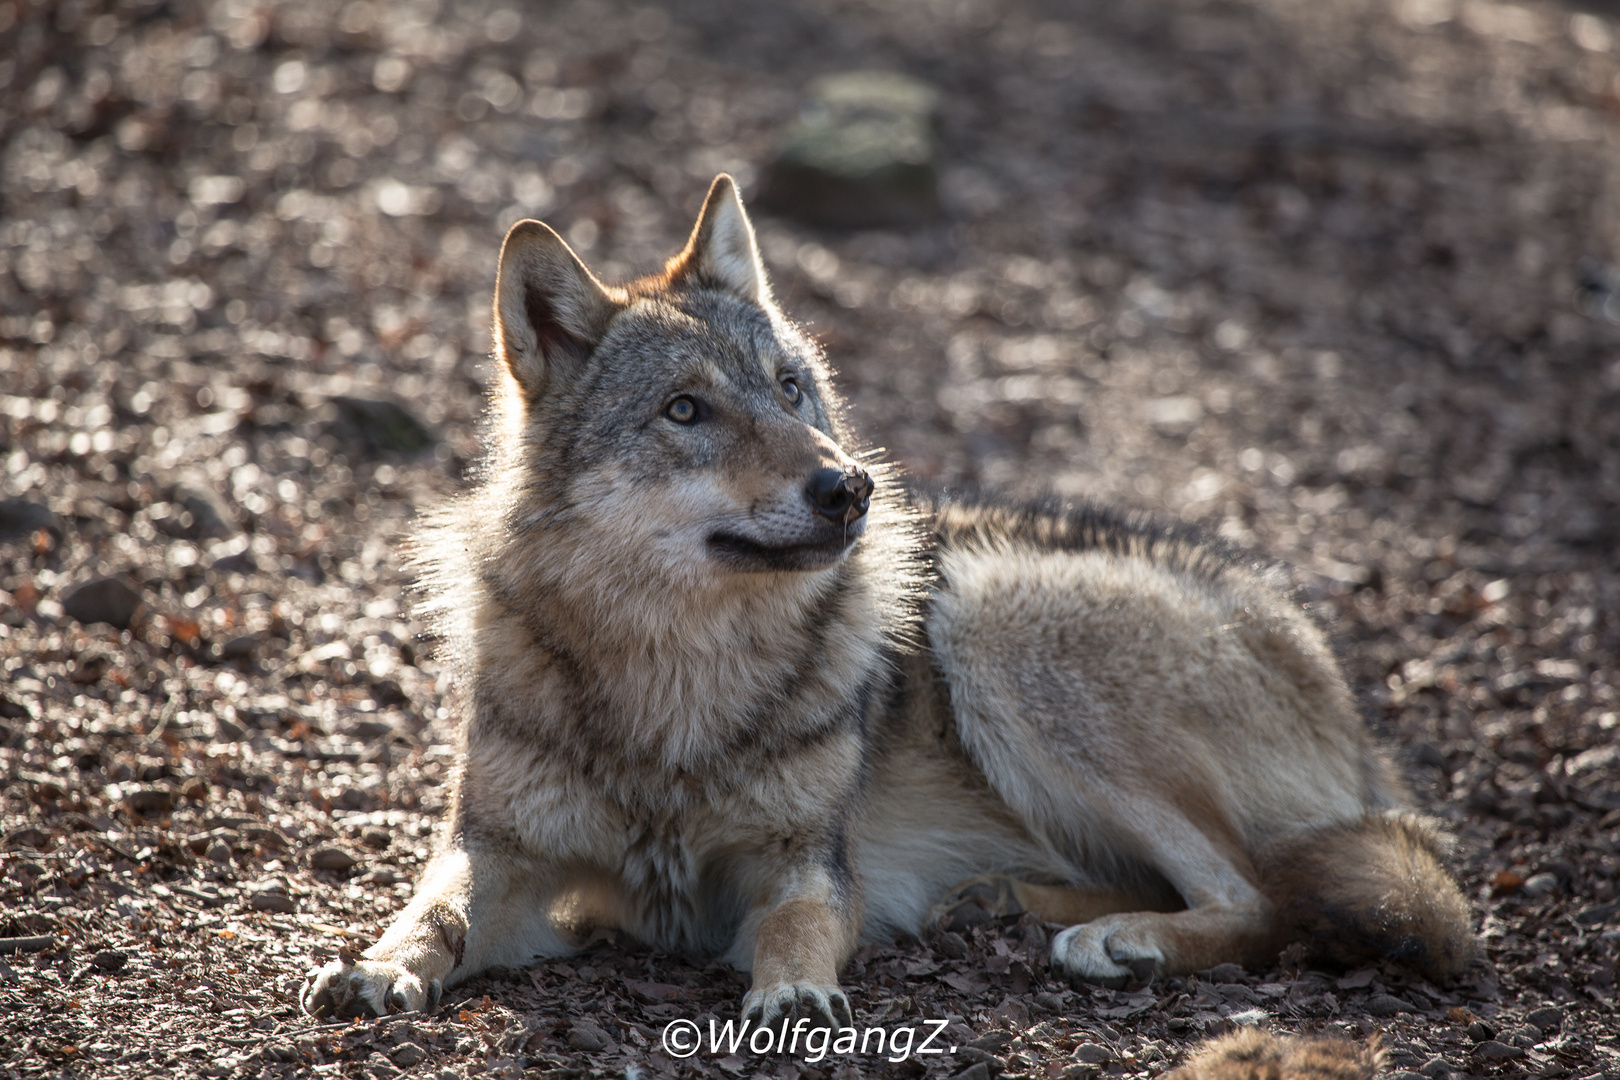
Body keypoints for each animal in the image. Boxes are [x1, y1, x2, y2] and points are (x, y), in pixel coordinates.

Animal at [304, 175, 1483, 1029]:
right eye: (686, 410)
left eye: (789, 389)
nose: (848, 487)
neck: (673, 688)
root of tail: (1347, 707)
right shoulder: (503, 857)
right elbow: (434, 911)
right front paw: (376, 965)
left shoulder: (802, 864)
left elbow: (798, 926)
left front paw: (792, 992)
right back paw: (1009, 902)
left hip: (990, 618)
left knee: (1259, 897)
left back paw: (1117, 939)